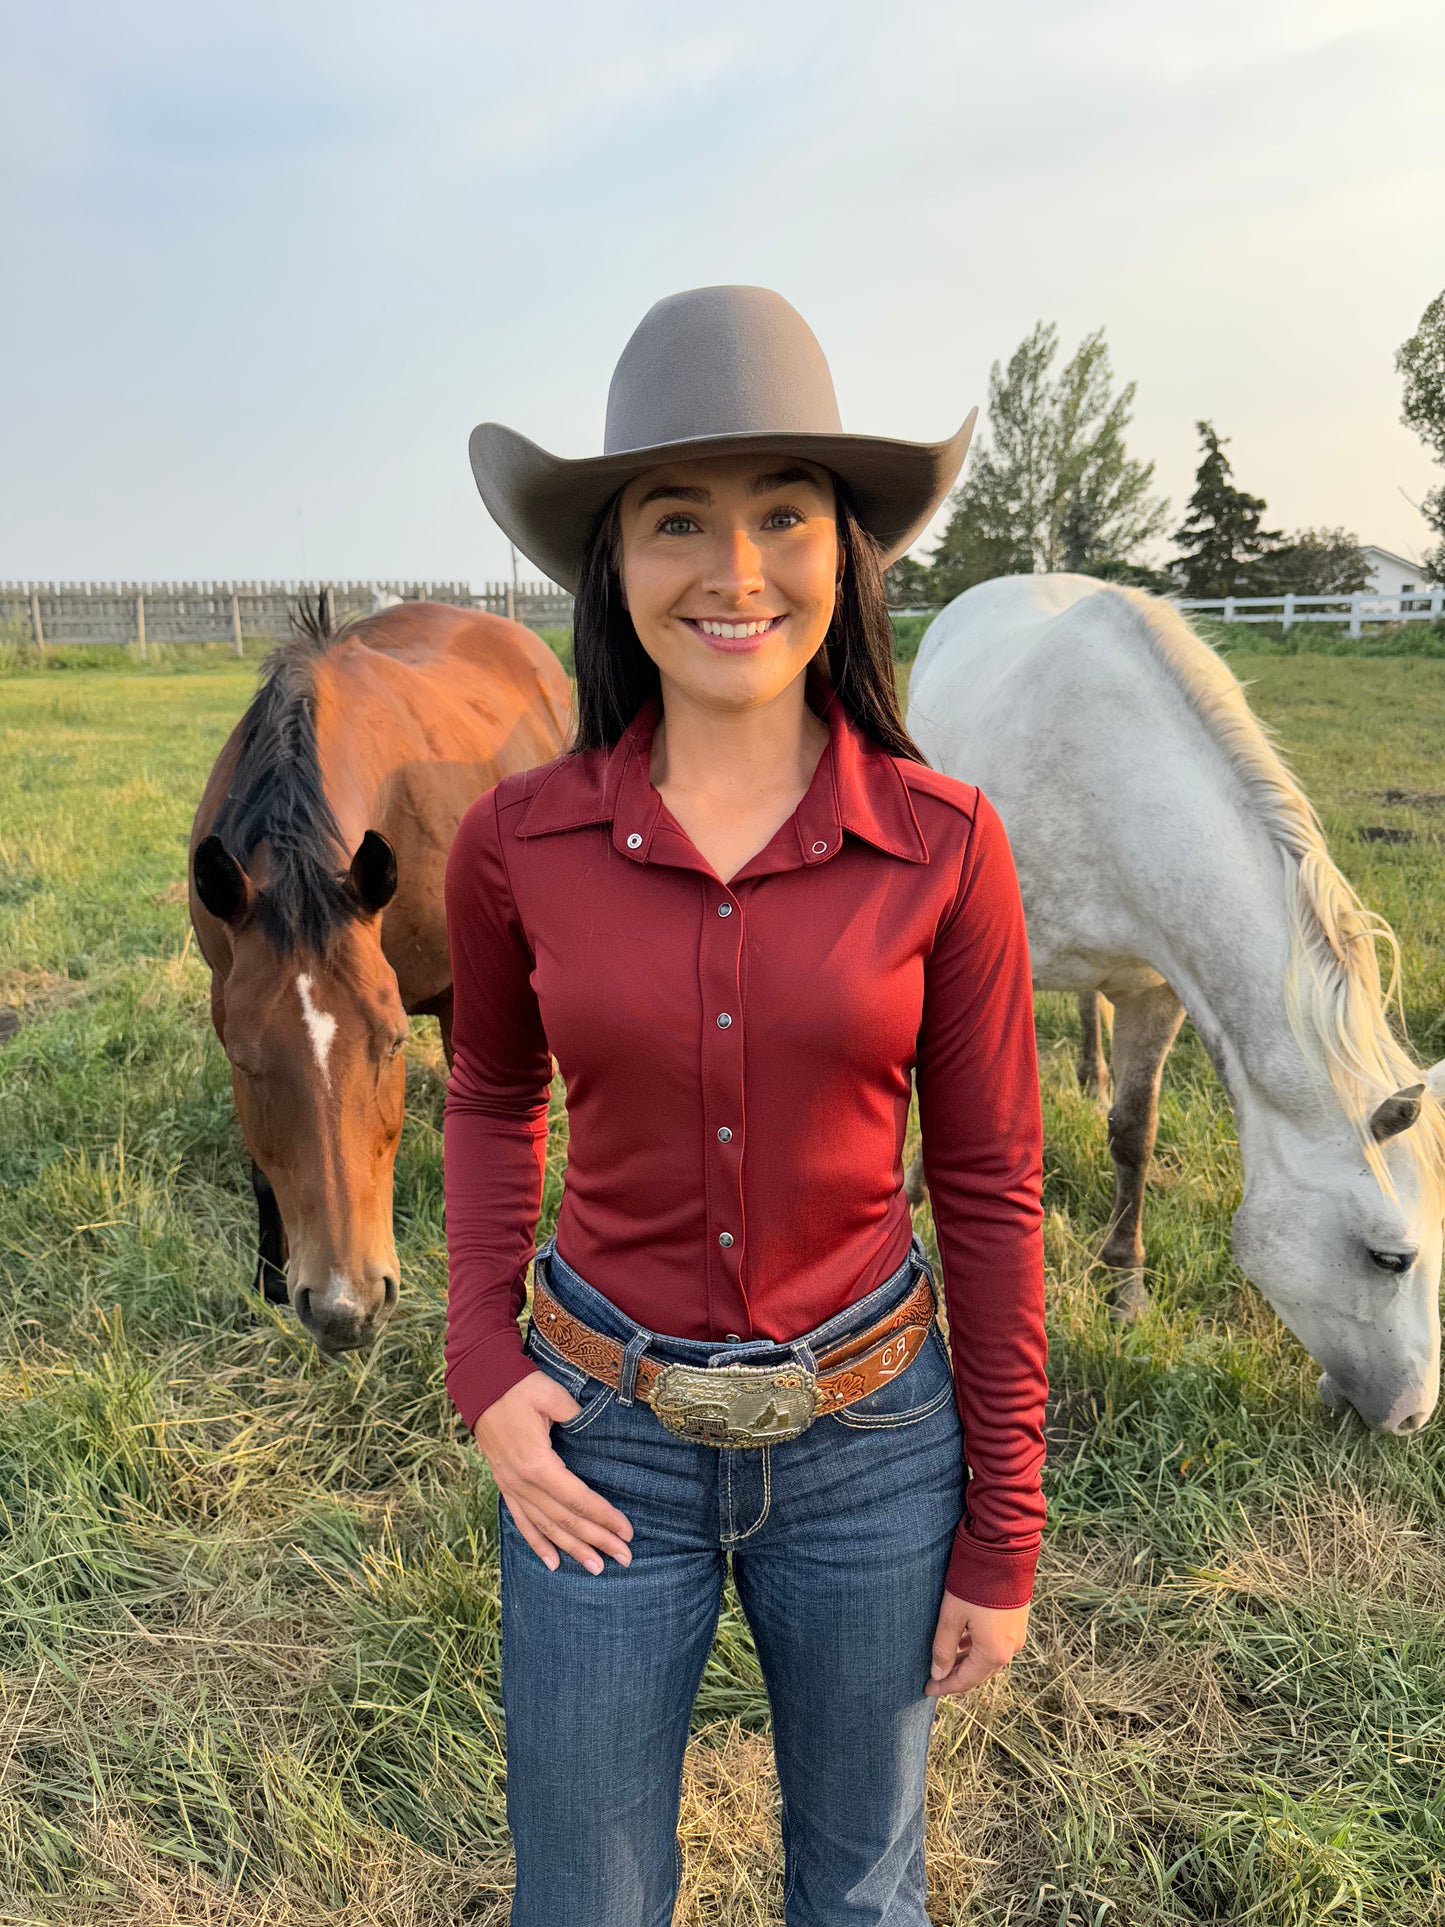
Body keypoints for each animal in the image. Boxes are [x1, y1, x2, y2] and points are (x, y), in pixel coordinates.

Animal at [189, 597, 574, 1356]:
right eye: (246, 1064)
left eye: (392, 1043)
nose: (347, 1308)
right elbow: (260, 1168)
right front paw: (268, 1276)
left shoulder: (462, 1000)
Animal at [909, 570, 1441, 1433]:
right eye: (1389, 1256)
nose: (1409, 1417)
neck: (1110, 781)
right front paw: (917, 1192)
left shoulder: (1157, 989)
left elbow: (1134, 1133)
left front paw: (1123, 1287)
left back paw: (1089, 1075)